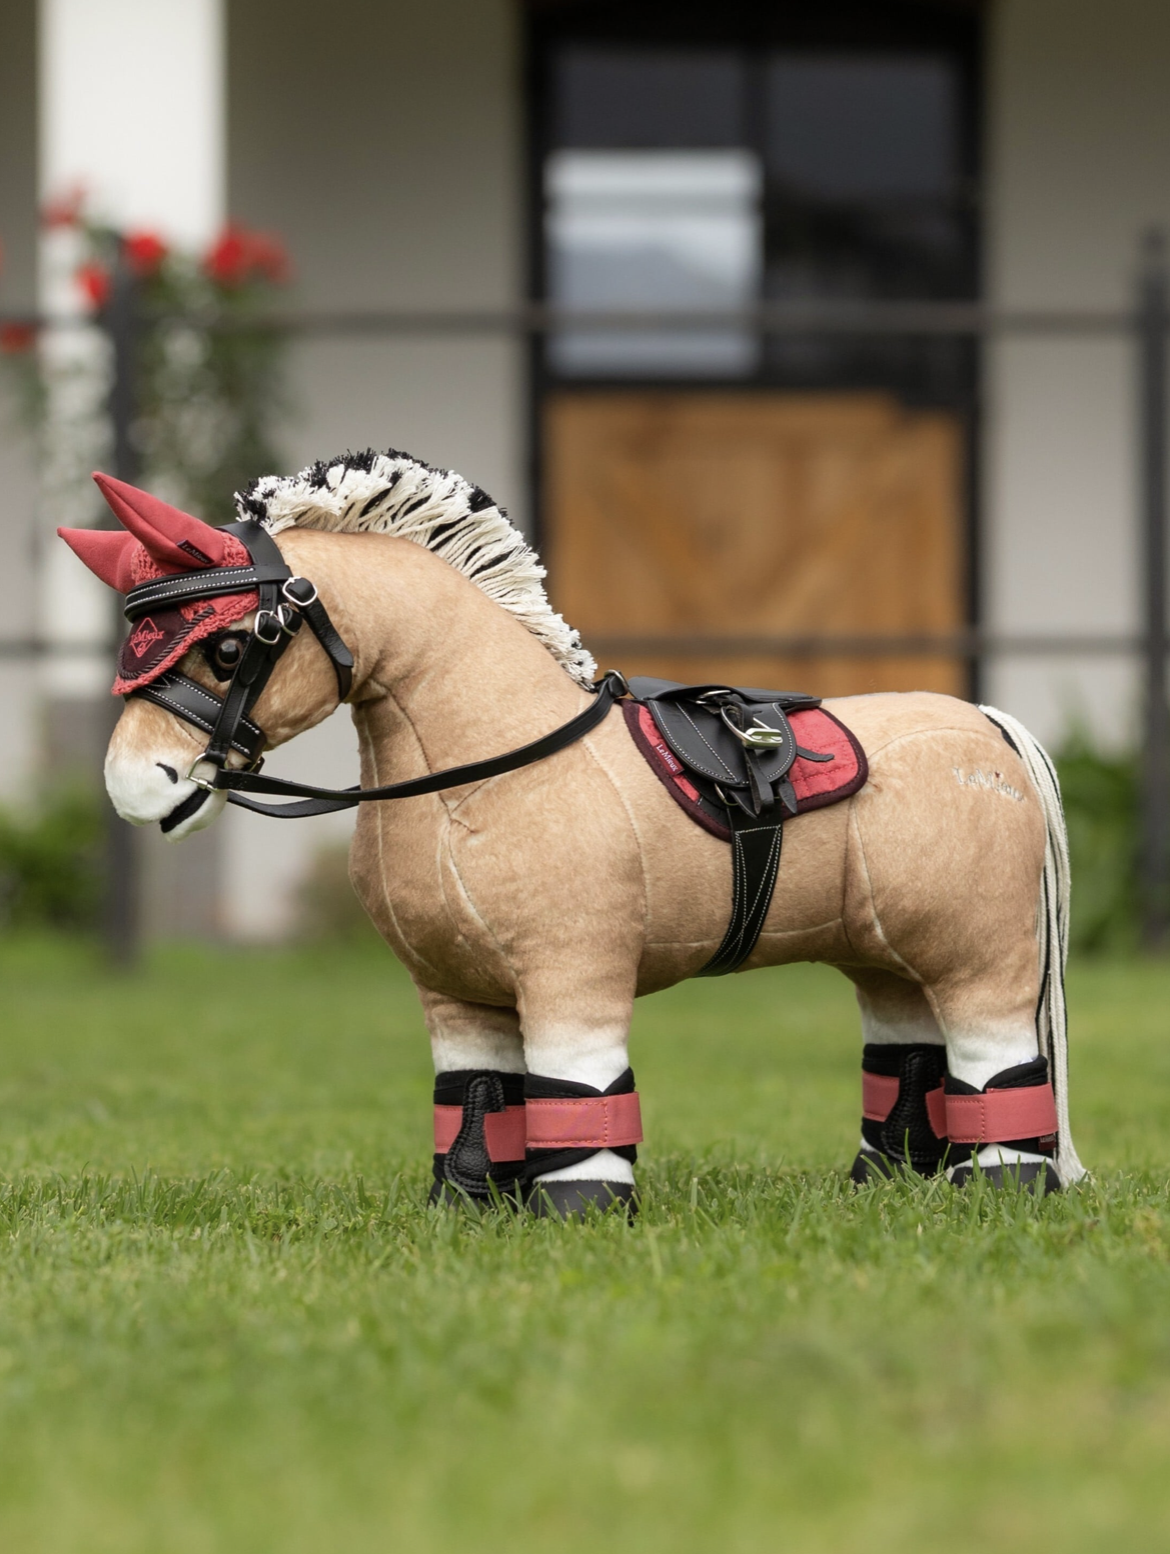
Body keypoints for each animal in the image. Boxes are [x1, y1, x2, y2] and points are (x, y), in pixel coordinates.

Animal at [59, 448, 1083, 1216]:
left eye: (230, 645)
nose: (134, 786)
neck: (483, 772)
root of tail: (989, 724)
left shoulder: (572, 972)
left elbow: (577, 1094)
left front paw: (579, 1215)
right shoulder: (454, 993)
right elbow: (474, 1098)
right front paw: (467, 1208)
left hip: (983, 955)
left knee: (996, 1061)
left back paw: (1001, 1192)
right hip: (887, 955)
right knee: (906, 1054)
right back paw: (884, 1189)